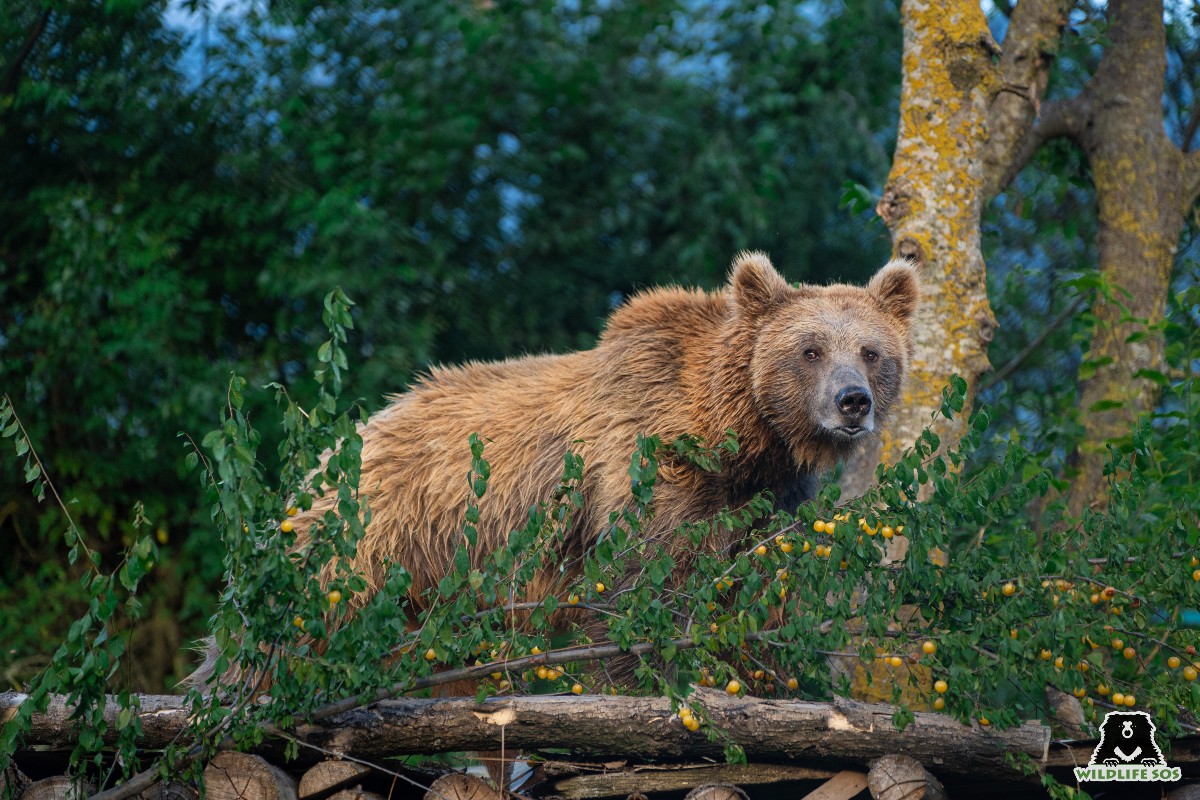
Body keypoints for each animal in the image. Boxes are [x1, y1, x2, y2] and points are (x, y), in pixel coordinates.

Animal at [192, 253, 912, 686]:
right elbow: (637, 585)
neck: (736, 434)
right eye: (810, 350)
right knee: (286, 622)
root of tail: (351, 439)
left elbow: (751, 589)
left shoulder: (764, 500)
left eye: (871, 351)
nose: (853, 402)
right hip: (370, 535)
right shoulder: (645, 470)